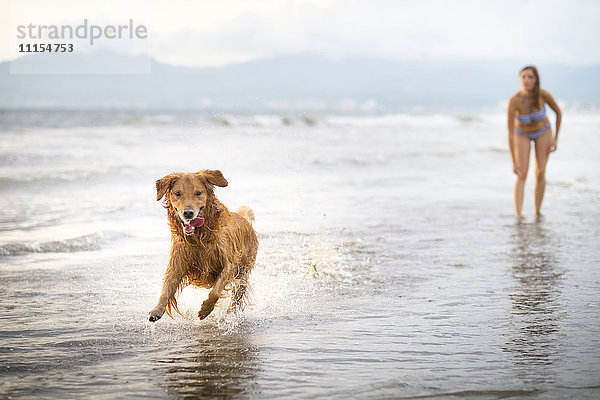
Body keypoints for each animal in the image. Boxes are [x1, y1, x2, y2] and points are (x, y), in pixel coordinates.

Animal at [149, 169, 256, 322]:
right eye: (178, 193)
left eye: (198, 193)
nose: (188, 213)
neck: (200, 237)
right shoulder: (177, 263)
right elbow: (166, 288)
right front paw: (156, 310)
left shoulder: (230, 262)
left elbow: (216, 289)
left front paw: (205, 309)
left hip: (243, 272)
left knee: (237, 296)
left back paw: (228, 316)